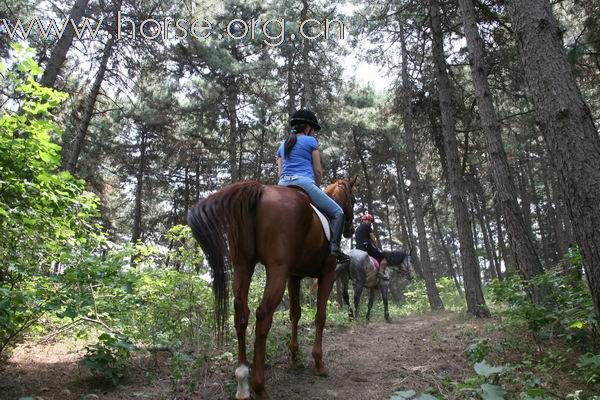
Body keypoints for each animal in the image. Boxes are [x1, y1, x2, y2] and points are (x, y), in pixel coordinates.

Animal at [188, 178, 356, 400]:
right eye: (354, 200)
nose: (350, 230)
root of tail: (260, 190)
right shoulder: (326, 275)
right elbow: (320, 317)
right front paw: (319, 364)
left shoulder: (294, 276)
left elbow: (295, 314)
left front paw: (294, 358)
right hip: (277, 270)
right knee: (263, 315)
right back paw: (259, 387)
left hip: (243, 266)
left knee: (241, 314)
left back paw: (242, 382)